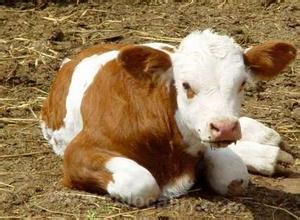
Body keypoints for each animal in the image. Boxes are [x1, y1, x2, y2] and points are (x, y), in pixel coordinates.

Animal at [41, 29, 296, 206]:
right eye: (185, 85)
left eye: (242, 83)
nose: (224, 127)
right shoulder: (79, 151)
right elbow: (143, 184)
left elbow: (234, 175)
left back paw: (268, 141)